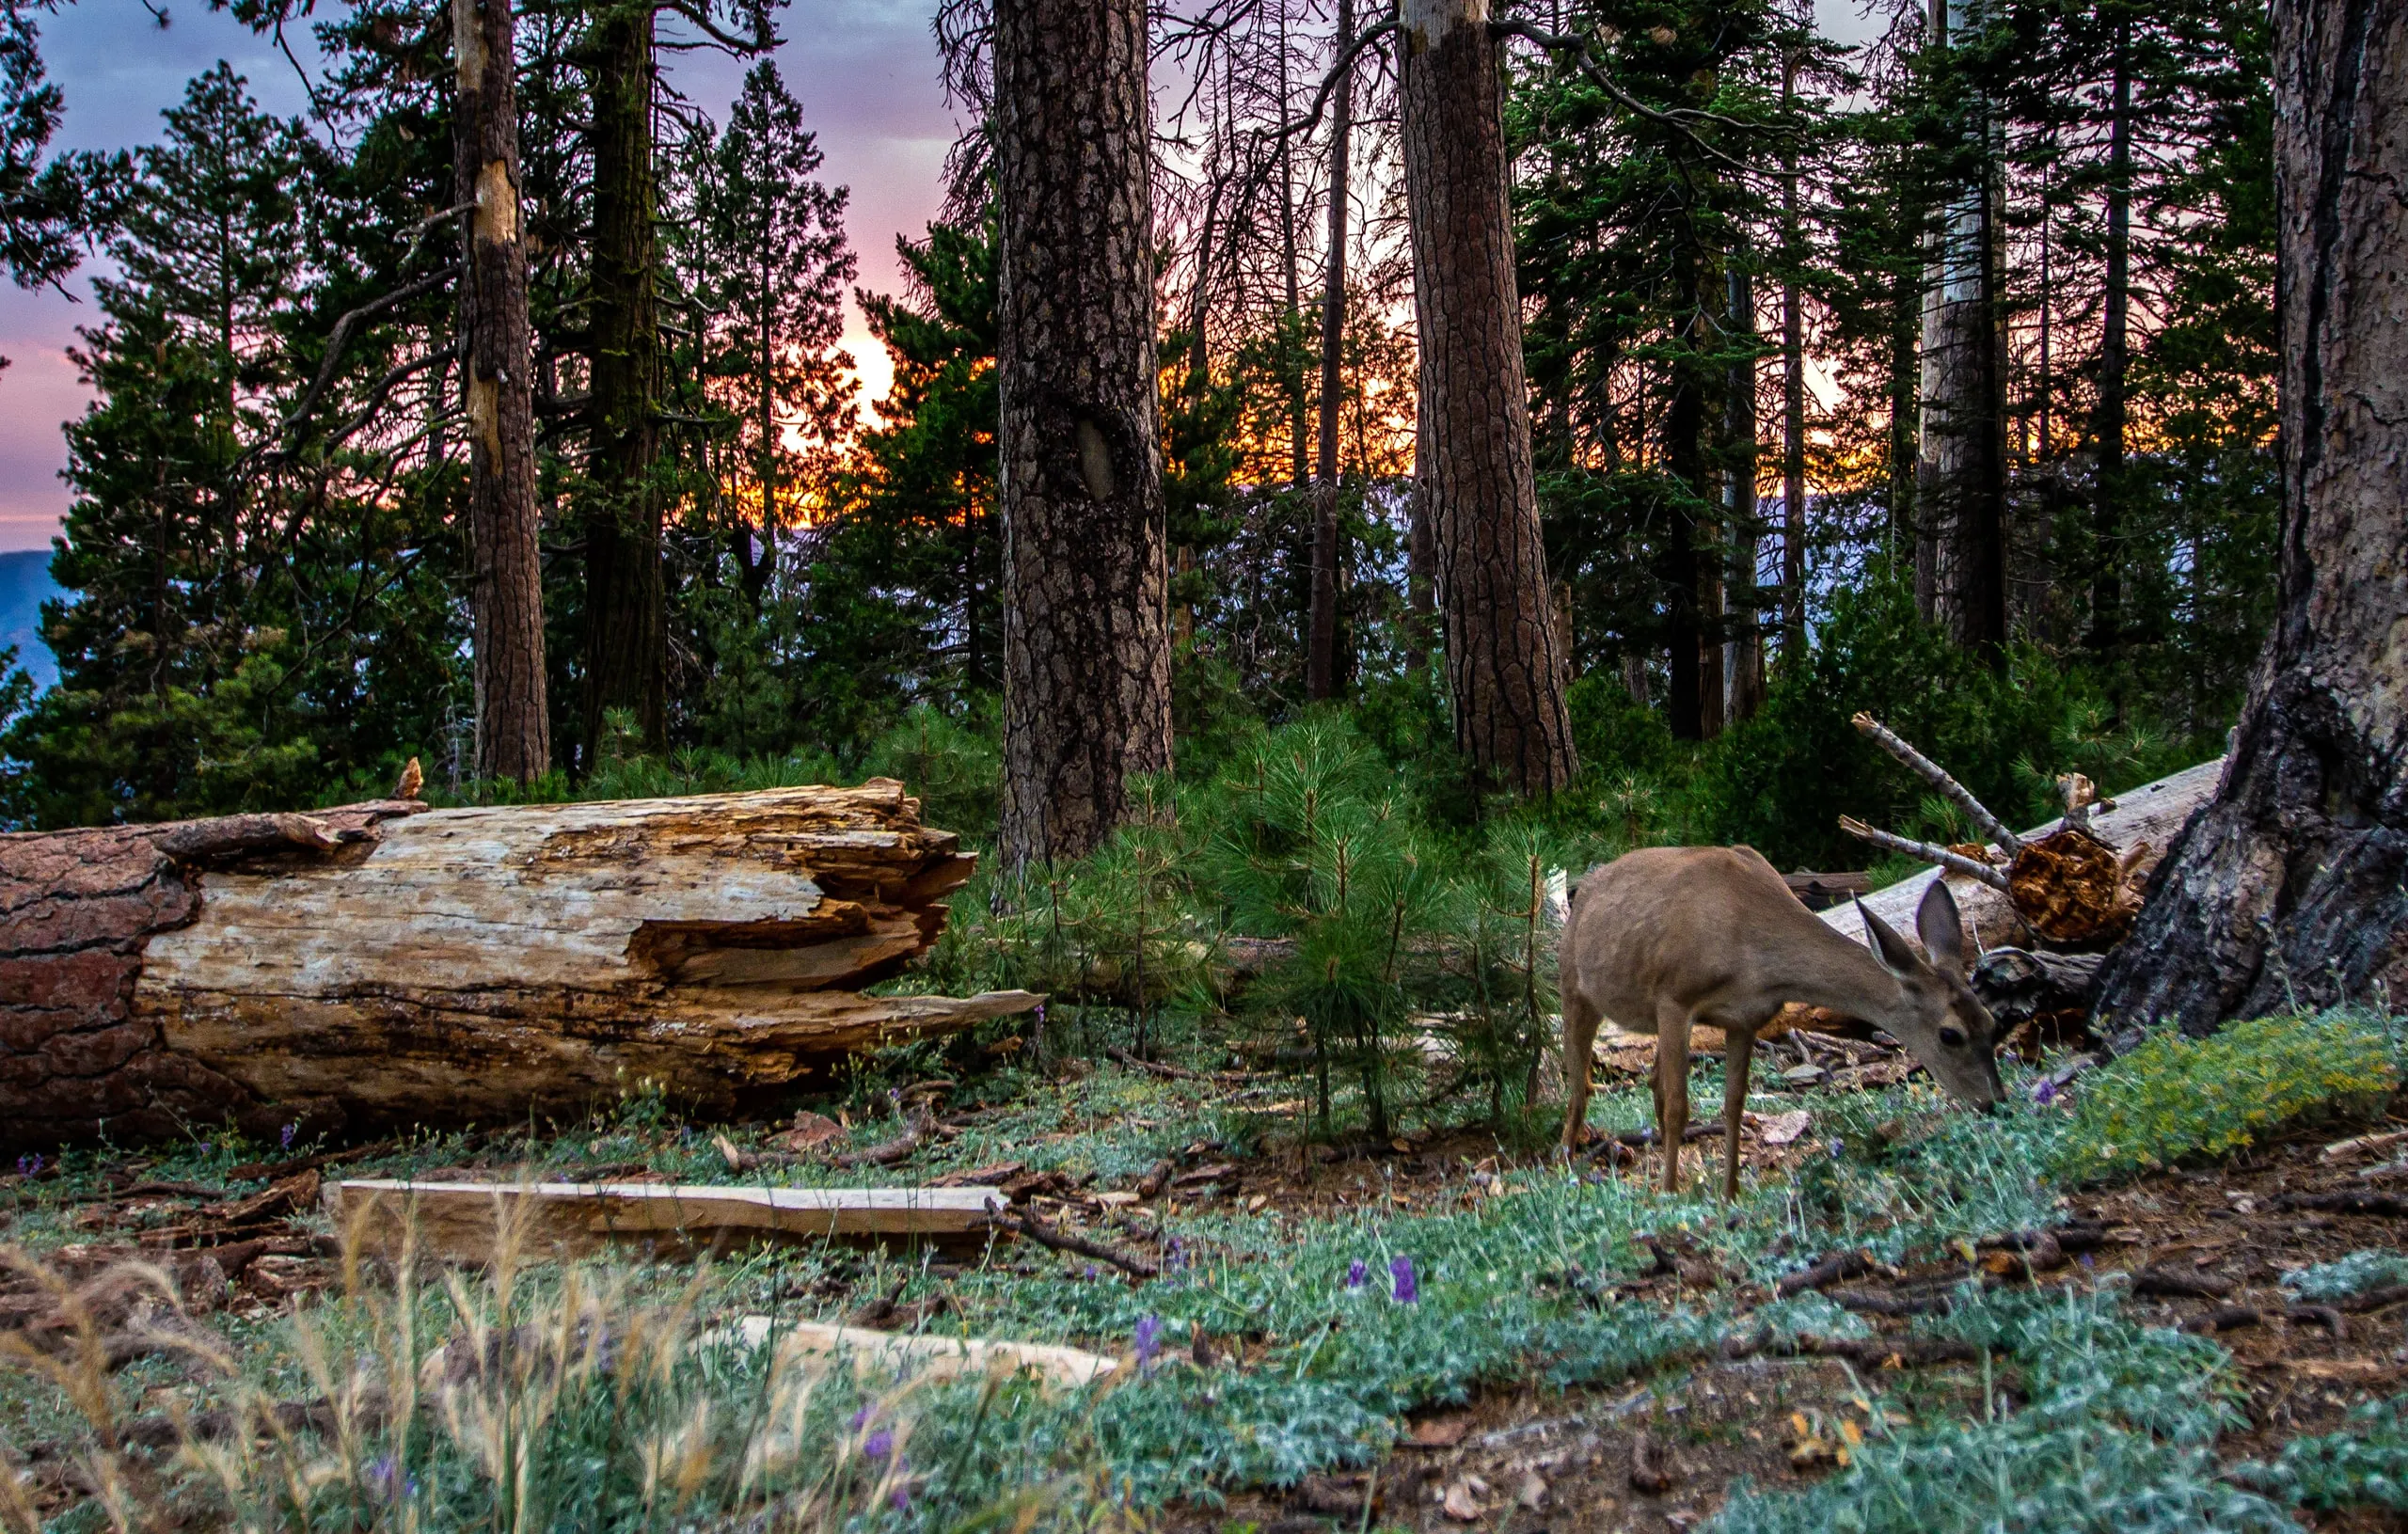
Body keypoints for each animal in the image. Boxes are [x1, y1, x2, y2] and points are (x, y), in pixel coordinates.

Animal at [1559, 845, 2004, 1198]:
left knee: (1651, 1081)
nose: (1995, 1102)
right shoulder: (1675, 997)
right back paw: (1564, 1161)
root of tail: (1586, 888)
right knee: (1580, 1084)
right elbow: (1679, 1107)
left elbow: (1734, 1105)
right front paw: (1668, 1194)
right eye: (1950, 1034)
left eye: (1991, 1020)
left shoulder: (1744, 1018)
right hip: (1574, 985)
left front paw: (1730, 1194)